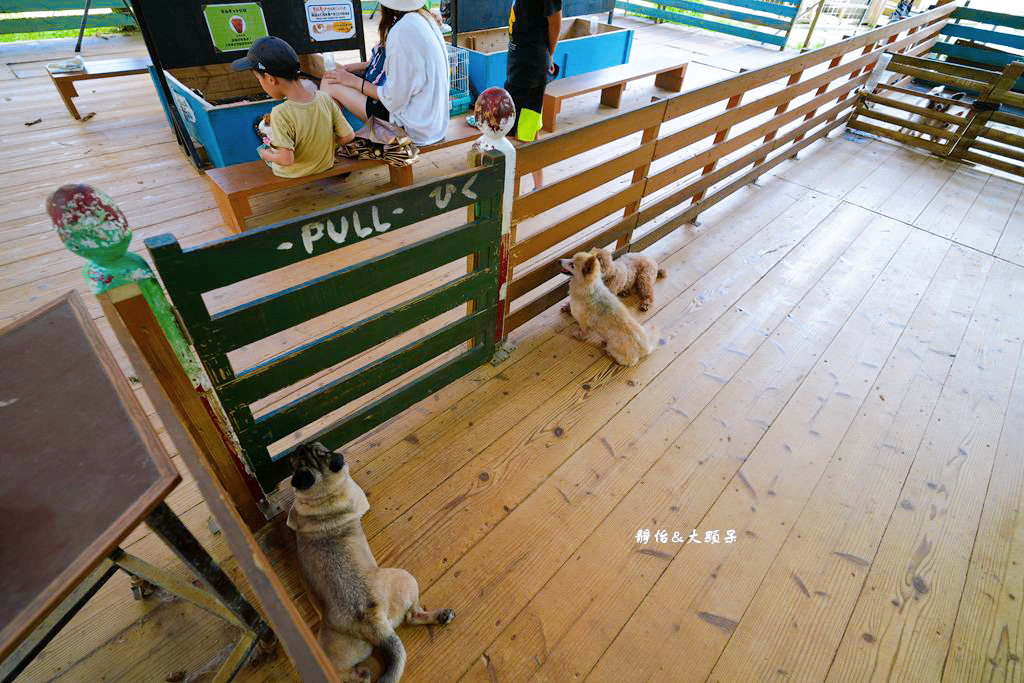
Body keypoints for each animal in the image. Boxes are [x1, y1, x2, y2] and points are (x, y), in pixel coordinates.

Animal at [284, 440, 452, 679]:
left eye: (304, 451)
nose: (299, 445)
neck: (324, 493)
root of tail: (370, 620)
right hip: (406, 578)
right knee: (413, 615)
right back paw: (441, 616)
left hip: (331, 651)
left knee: (341, 672)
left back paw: (361, 675)